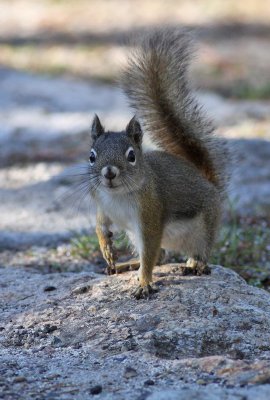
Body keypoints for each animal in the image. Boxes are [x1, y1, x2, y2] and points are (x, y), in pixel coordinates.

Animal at [88, 28, 228, 296]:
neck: (118, 195)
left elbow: (150, 252)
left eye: (132, 156)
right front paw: (107, 250)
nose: (109, 173)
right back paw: (127, 265)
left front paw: (144, 283)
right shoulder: (101, 204)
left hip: (204, 227)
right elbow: (101, 226)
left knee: (195, 252)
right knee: (161, 255)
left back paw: (195, 264)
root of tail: (209, 184)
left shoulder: (150, 215)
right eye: (91, 156)